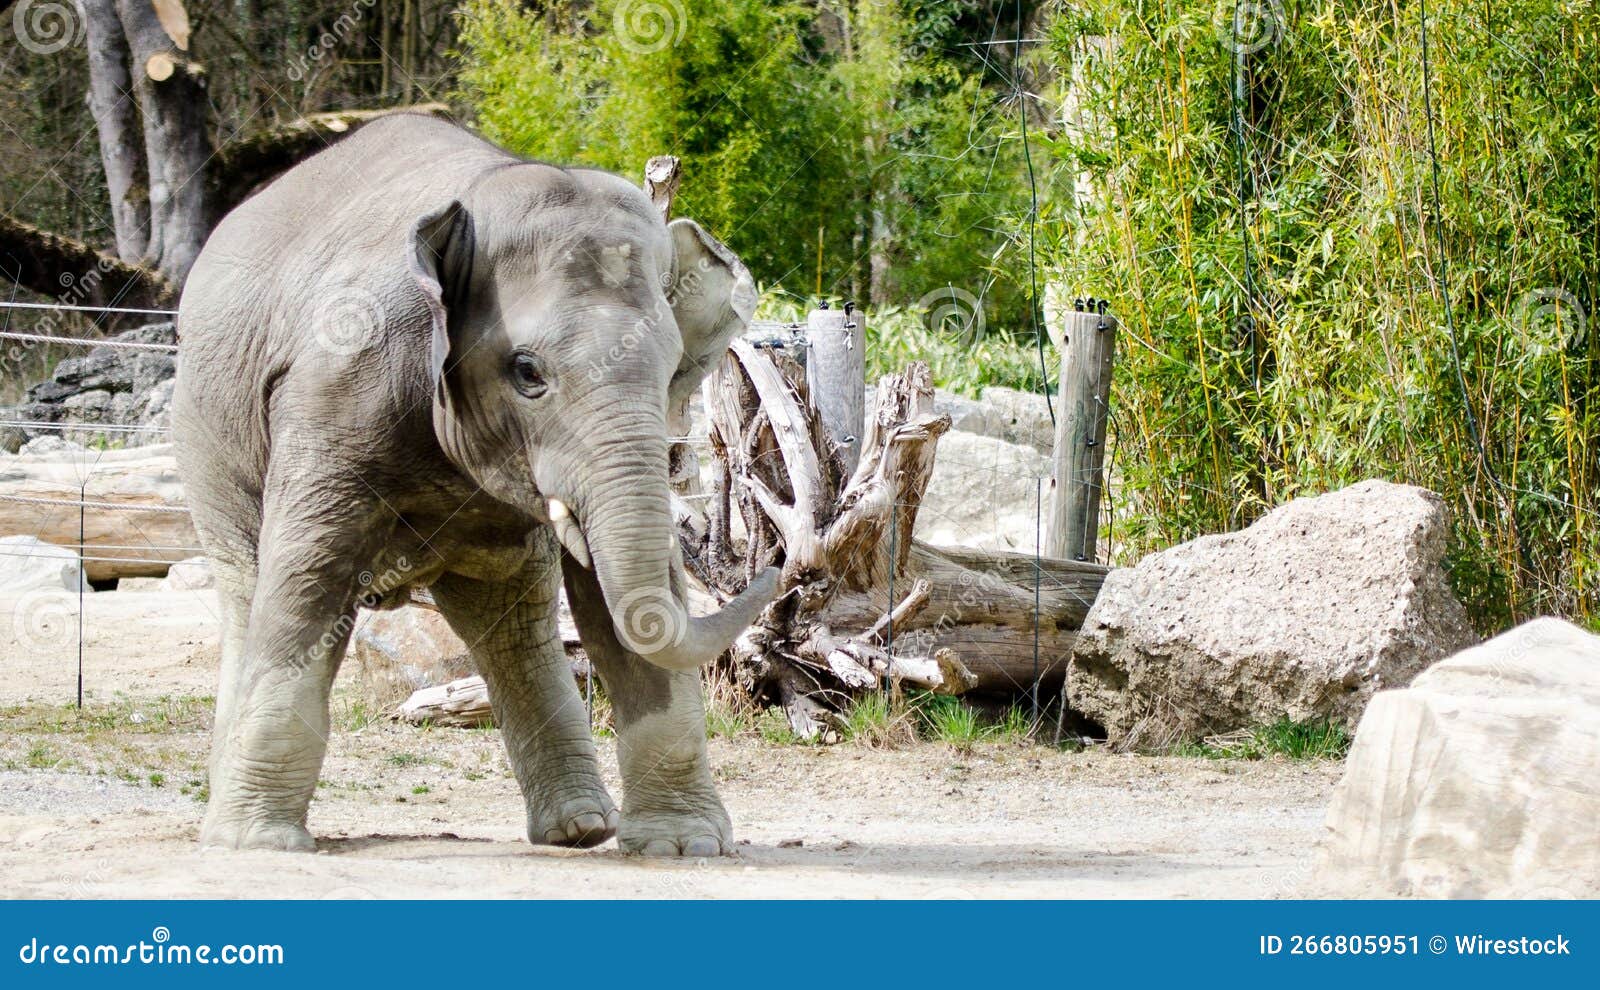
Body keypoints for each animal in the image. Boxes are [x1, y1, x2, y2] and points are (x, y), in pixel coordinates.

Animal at [172, 114, 779, 857]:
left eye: (671, 372)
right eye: (527, 372)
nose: (774, 569)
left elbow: (629, 602)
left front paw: (682, 847)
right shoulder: (333, 387)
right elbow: (308, 578)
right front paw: (258, 847)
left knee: (507, 618)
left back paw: (579, 830)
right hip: (206, 441)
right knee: (248, 588)